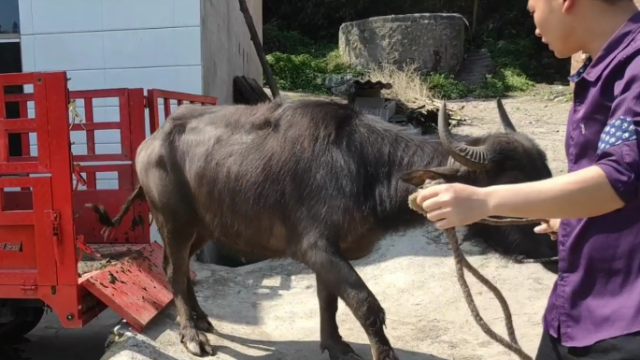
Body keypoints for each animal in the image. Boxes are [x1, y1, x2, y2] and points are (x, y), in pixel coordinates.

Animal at [87, 97, 556, 358]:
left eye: (546, 174)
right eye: (510, 187)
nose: (552, 247)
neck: (363, 167)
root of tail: (151, 141)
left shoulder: (331, 253)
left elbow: (330, 301)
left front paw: (334, 345)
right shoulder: (318, 248)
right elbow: (367, 305)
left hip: (204, 225)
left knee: (183, 272)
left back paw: (202, 320)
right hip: (174, 221)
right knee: (173, 270)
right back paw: (191, 335)